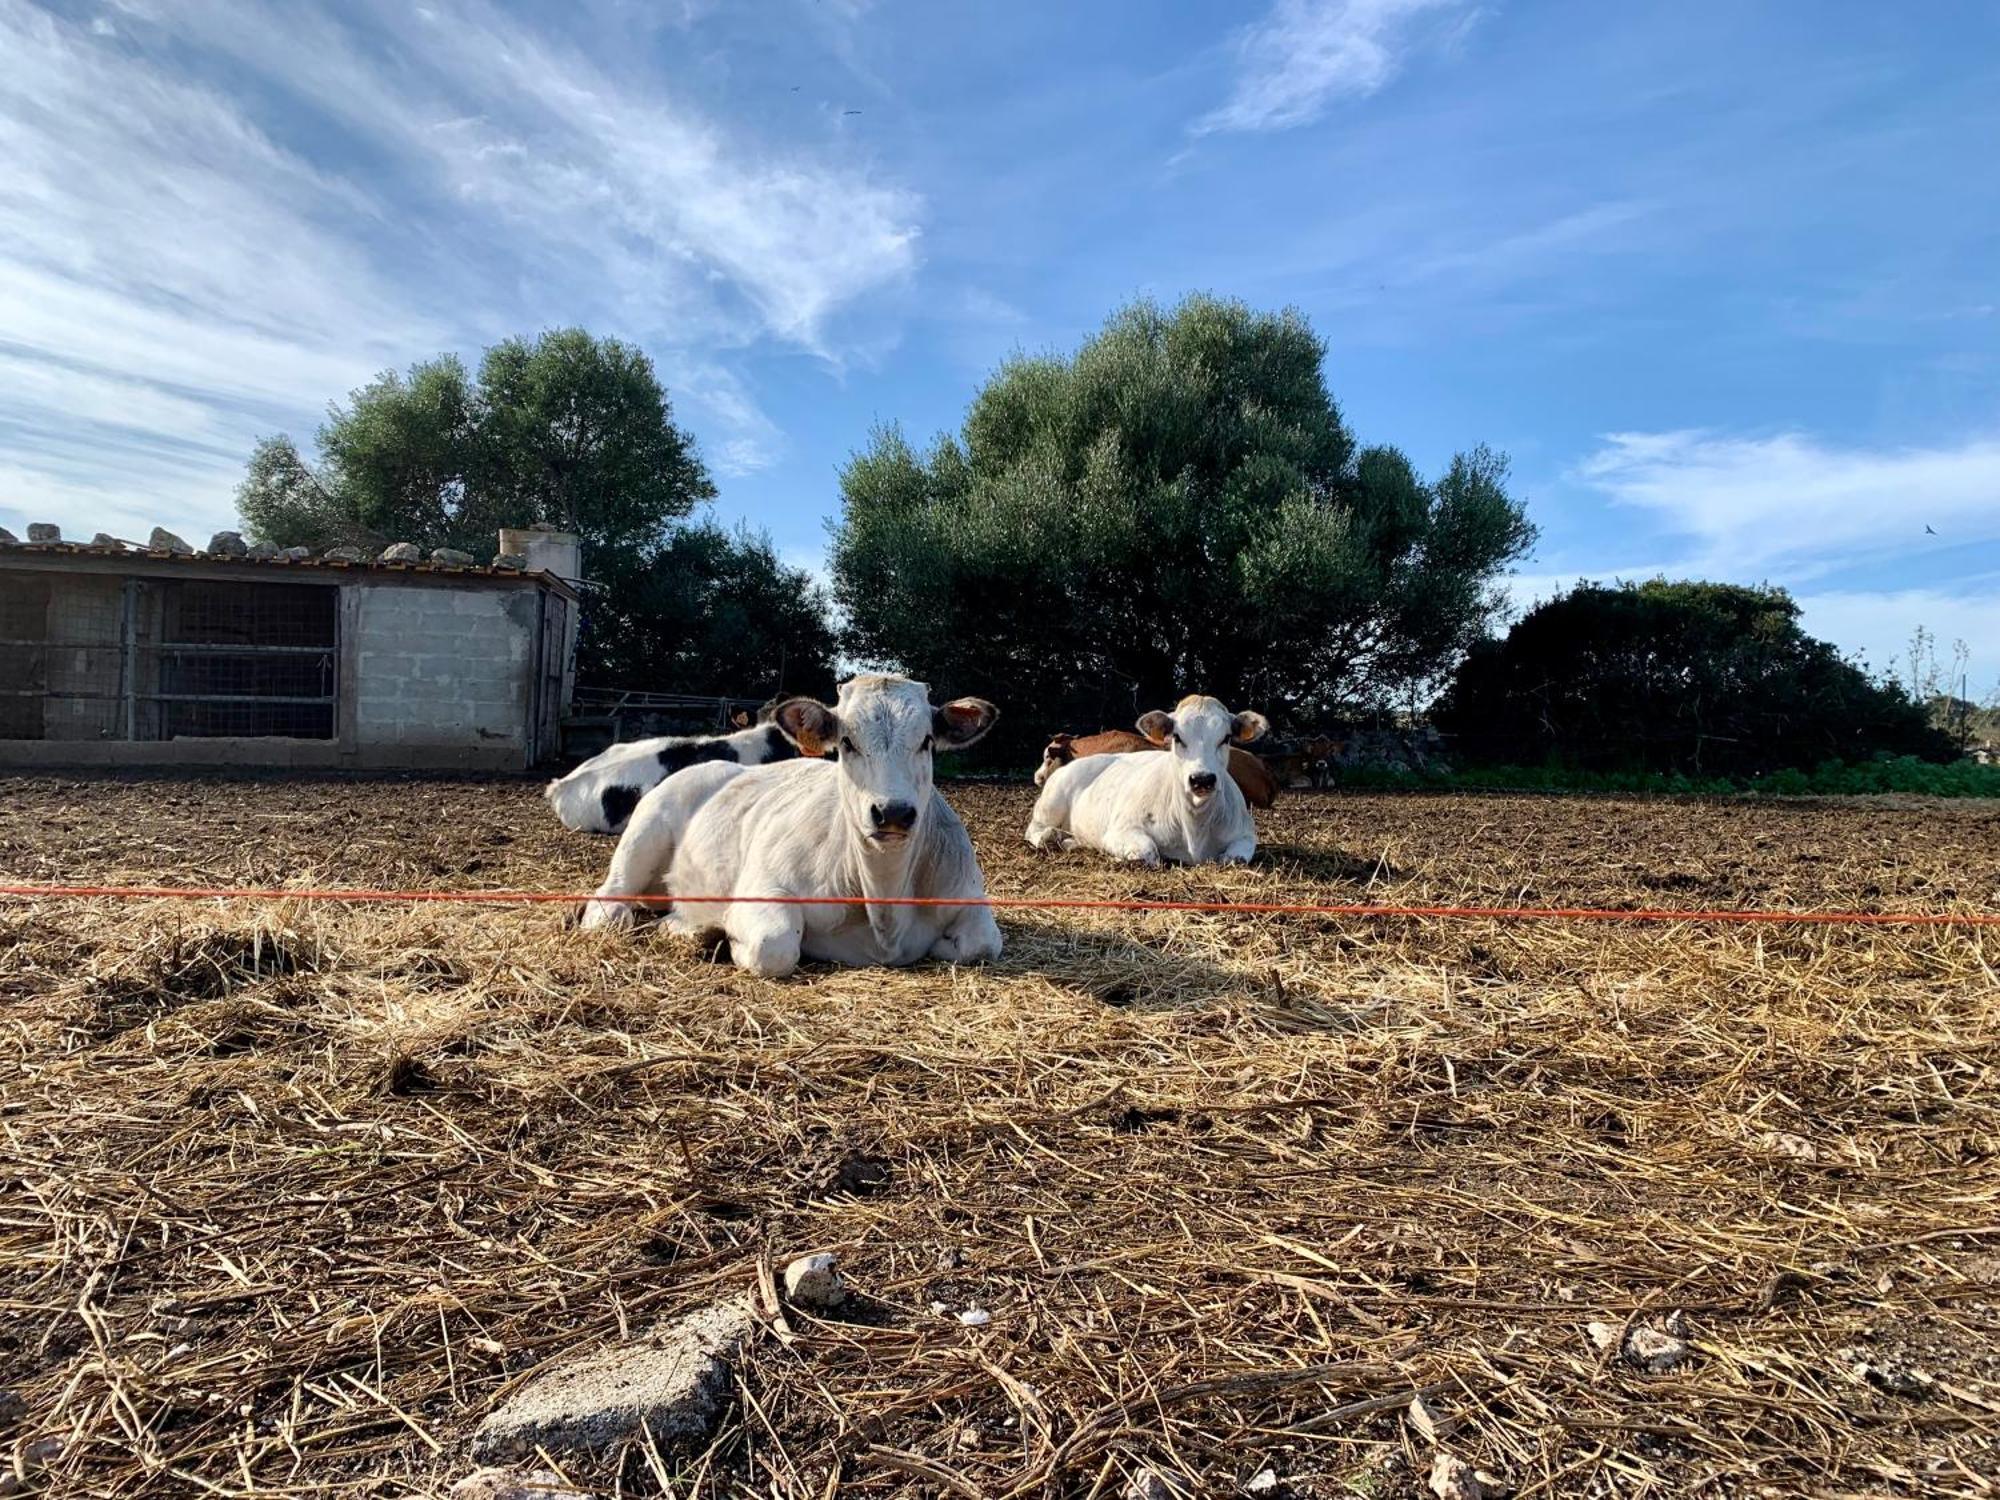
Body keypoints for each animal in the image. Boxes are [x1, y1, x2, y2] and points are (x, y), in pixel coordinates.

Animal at [584, 676, 1008, 980]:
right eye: (846, 742)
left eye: (927, 741)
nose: (893, 812)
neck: (884, 907)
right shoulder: (764, 887)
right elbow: (774, 946)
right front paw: (726, 935)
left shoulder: (965, 893)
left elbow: (983, 943)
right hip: (645, 832)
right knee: (608, 901)